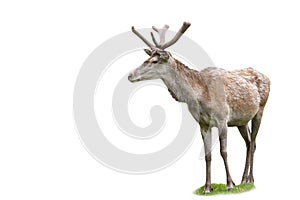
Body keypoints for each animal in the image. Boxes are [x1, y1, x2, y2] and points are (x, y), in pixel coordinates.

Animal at [126, 21, 270, 194]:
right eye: (147, 58)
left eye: (154, 61)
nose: (130, 75)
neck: (199, 96)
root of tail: (267, 77)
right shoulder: (203, 123)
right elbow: (208, 155)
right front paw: (208, 187)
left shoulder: (222, 118)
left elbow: (224, 151)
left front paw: (229, 184)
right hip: (241, 121)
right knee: (248, 143)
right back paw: (242, 179)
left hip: (260, 110)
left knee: (254, 143)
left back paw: (249, 179)